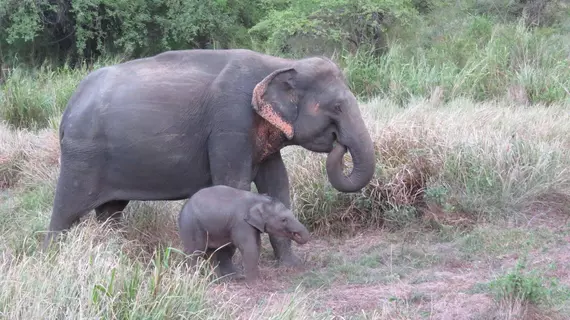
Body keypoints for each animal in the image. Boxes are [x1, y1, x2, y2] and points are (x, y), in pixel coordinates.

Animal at [41, 48, 378, 268]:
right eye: (337, 107)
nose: (339, 144)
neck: (280, 64)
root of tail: (69, 107)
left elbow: (277, 183)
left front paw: (291, 267)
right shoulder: (230, 124)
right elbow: (234, 183)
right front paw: (230, 268)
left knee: (110, 211)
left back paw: (115, 254)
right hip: (82, 155)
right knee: (67, 209)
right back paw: (53, 259)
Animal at [179, 185, 308, 282]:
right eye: (283, 220)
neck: (258, 199)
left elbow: (257, 245)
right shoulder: (241, 223)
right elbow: (250, 248)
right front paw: (253, 283)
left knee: (210, 254)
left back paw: (217, 280)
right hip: (191, 227)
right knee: (194, 253)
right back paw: (193, 280)